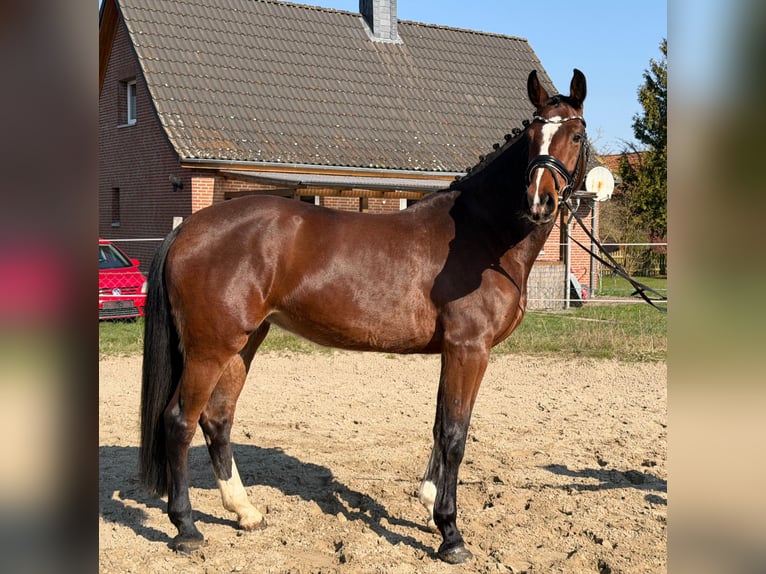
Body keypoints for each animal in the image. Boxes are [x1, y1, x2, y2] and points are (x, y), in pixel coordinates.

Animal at [140, 68, 588, 564]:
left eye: (575, 134)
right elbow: (455, 434)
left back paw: (245, 512)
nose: (540, 201)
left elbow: (439, 426)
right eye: (531, 136)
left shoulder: (453, 352)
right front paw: (450, 534)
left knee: (217, 418)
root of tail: (187, 228)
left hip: (243, 343)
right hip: (209, 348)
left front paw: (429, 502)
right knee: (179, 421)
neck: (481, 234)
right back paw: (186, 527)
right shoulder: (469, 349)